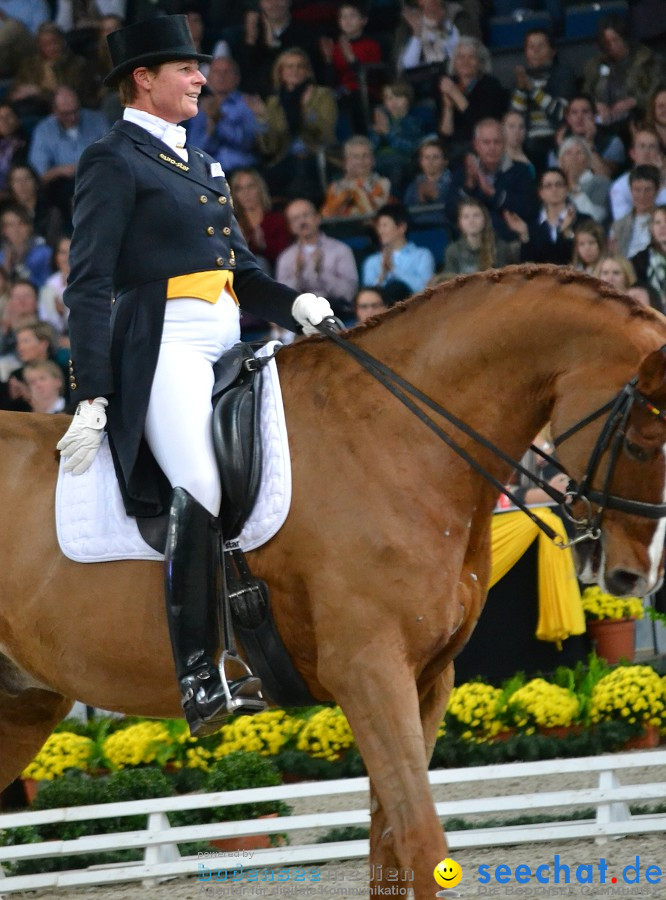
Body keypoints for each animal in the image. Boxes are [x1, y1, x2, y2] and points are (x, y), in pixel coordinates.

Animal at [1, 264, 664, 896]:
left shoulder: (428, 679)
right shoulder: (368, 672)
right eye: (642, 442)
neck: (395, 436)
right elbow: (423, 844)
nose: (637, 574)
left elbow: (391, 851)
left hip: (24, 705)